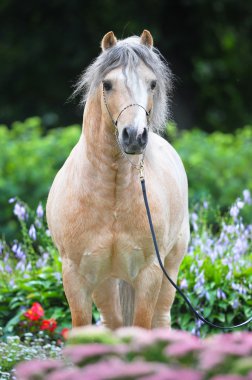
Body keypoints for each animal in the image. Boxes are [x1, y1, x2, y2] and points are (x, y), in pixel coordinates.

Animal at [46, 29, 189, 330]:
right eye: (108, 84)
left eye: (152, 83)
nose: (134, 136)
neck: (111, 192)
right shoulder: (76, 277)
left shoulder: (149, 274)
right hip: (106, 284)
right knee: (112, 324)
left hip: (169, 269)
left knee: (161, 320)